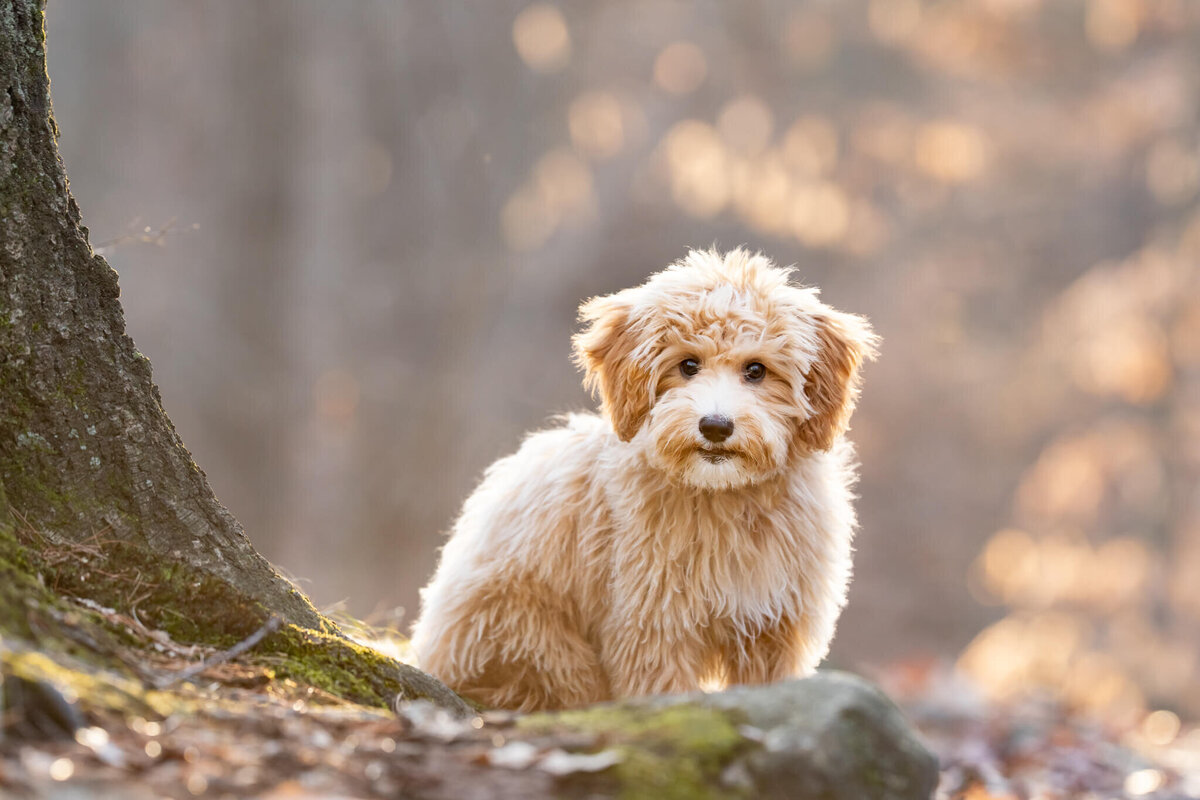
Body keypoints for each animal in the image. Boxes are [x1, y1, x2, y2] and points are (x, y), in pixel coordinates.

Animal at [415, 247, 883, 710]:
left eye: (756, 370)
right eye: (688, 365)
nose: (715, 426)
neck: (725, 496)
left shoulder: (775, 626)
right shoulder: (654, 623)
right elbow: (663, 689)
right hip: (535, 641)